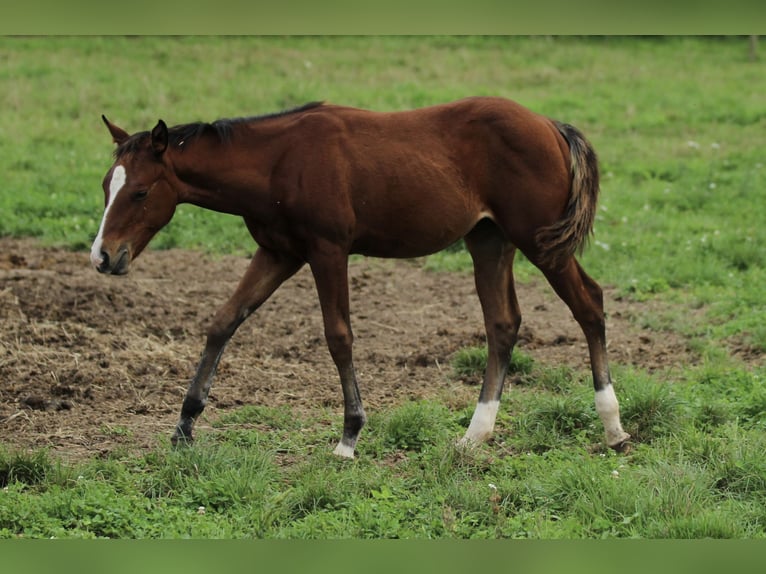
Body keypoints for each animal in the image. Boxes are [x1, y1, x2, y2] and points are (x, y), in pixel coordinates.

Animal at [92, 97, 630, 458]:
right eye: (104, 186)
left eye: (140, 192)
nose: (103, 256)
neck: (279, 161)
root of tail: (551, 126)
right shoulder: (278, 252)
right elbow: (224, 320)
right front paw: (184, 425)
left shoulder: (327, 251)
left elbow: (339, 336)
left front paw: (349, 435)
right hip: (489, 242)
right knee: (503, 324)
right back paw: (474, 436)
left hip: (541, 243)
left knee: (590, 304)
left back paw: (613, 428)